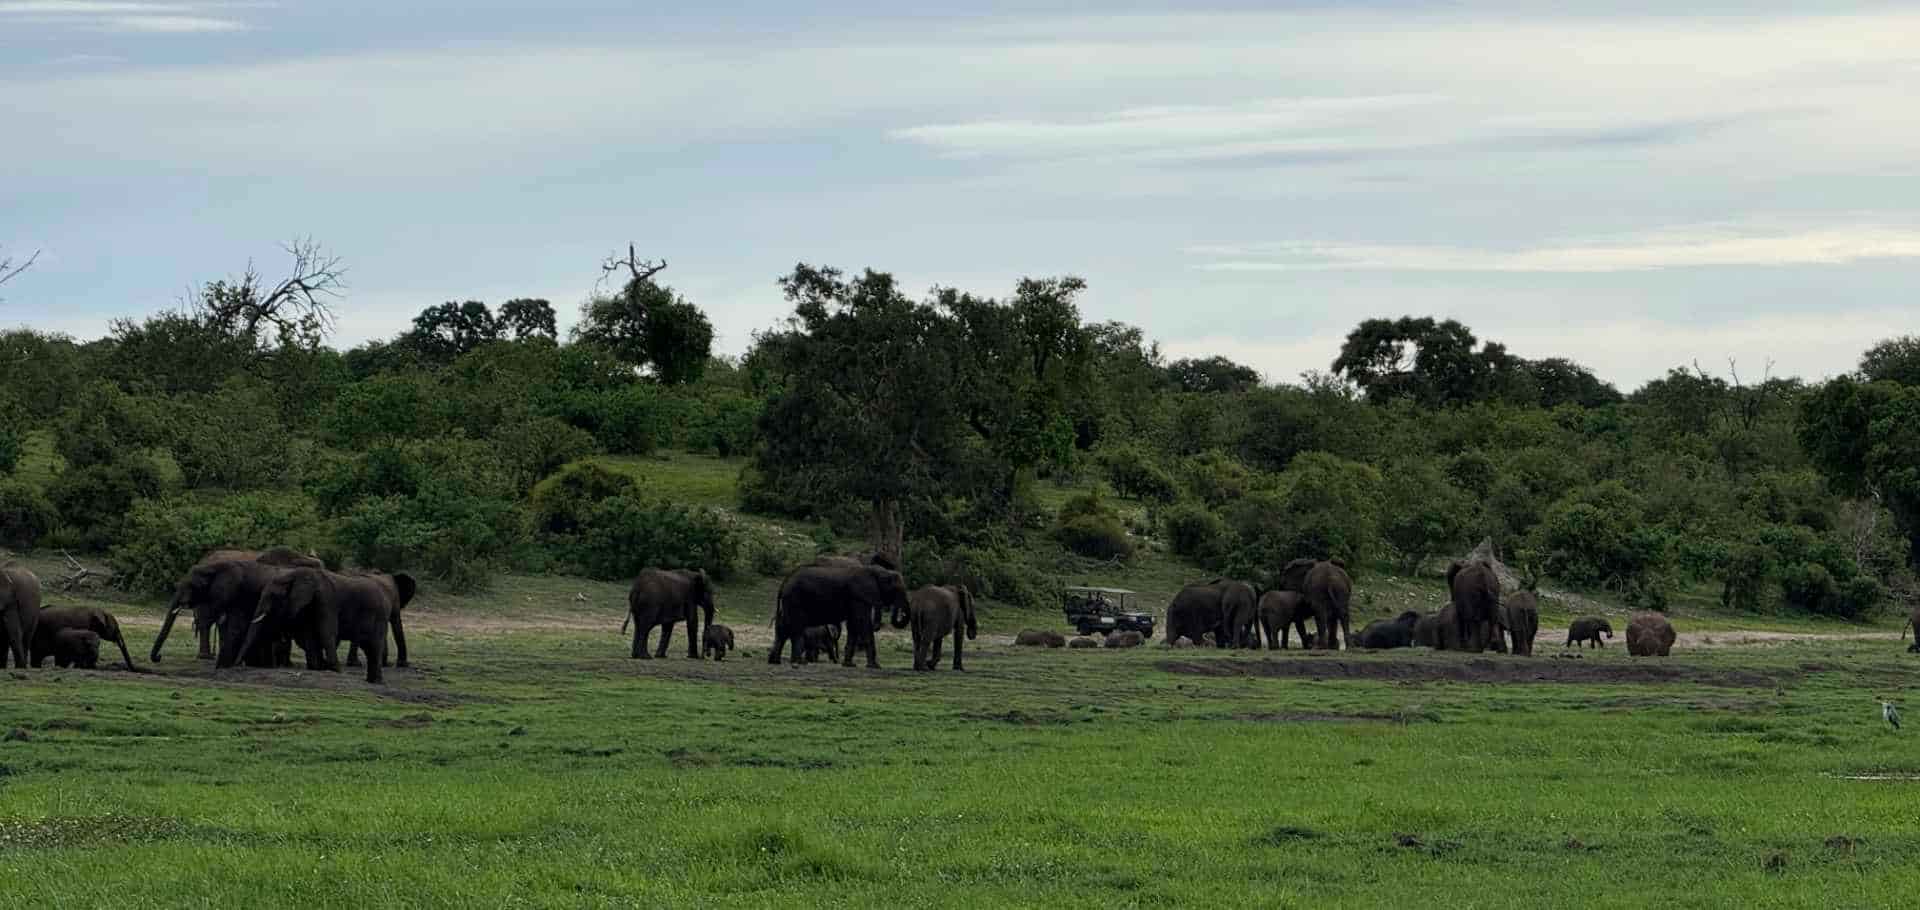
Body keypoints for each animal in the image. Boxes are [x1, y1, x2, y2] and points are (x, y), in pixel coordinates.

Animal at [240, 568, 417, 684]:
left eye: (273, 596)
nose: (238, 664)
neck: (297, 574)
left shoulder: (326, 600)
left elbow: (327, 632)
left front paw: (335, 670)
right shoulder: (308, 607)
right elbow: (310, 636)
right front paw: (318, 667)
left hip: (379, 617)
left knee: (374, 646)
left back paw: (376, 681)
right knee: (369, 648)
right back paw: (372, 680)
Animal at [770, 564, 908, 668]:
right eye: (896, 589)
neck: (877, 571)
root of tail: (784, 582)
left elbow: (854, 625)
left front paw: (849, 665)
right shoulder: (859, 597)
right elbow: (862, 622)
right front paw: (875, 666)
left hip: (789, 602)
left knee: (782, 629)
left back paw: (775, 661)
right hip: (795, 600)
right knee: (796, 629)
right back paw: (799, 663)